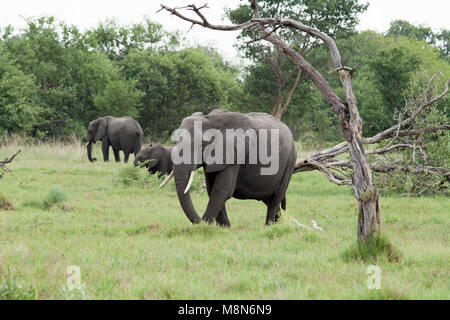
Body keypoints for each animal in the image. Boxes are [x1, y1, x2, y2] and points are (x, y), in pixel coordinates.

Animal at [160, 109, 298, 226]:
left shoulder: (234, 153)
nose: (199, 221)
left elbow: (222, 189)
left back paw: (268, 226)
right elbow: (212, 189)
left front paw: (206, 225)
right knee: (269, 199)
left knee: (276, 197)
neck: (210, 119)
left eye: (203, 144)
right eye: (175, 142)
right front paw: (224, 227)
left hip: (290, 159)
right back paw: (277, 224)